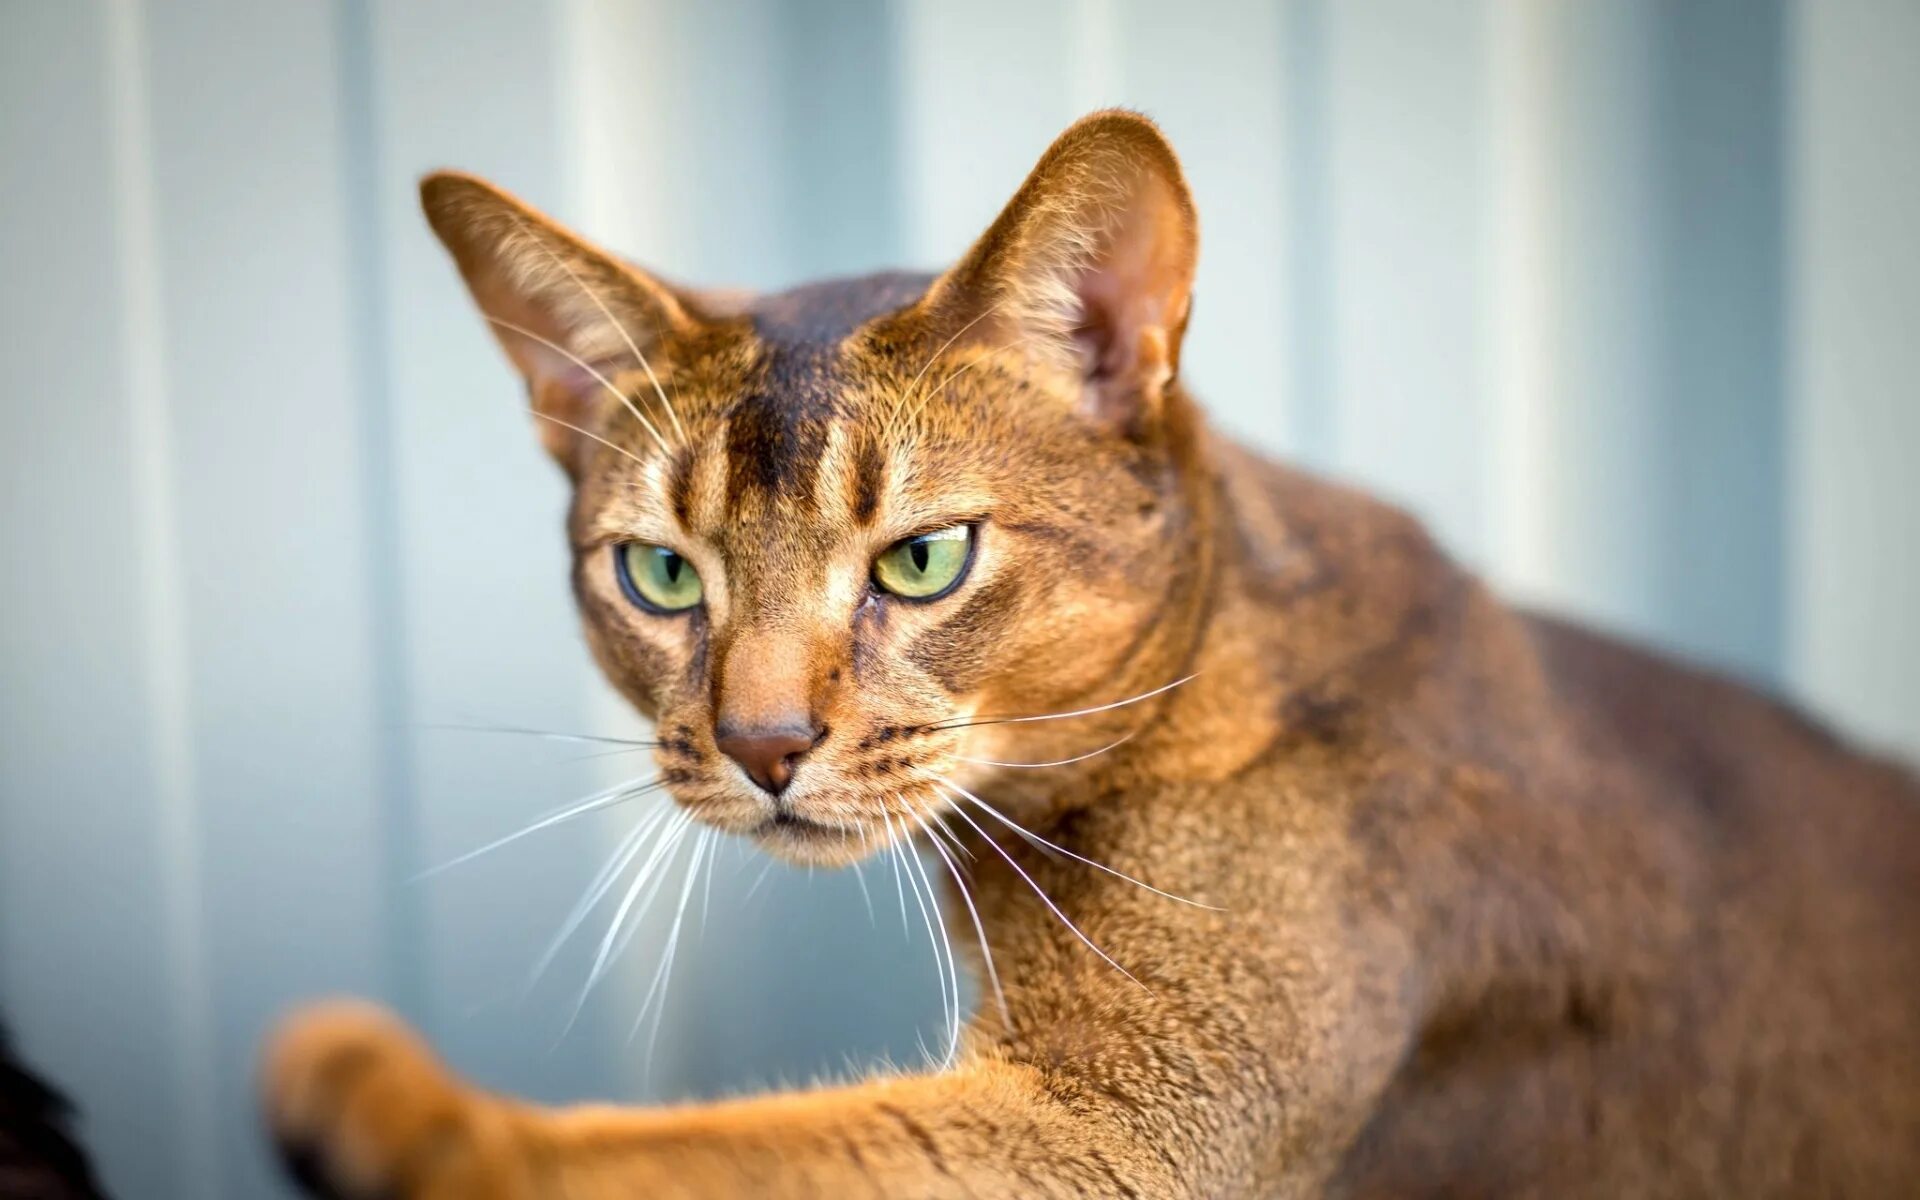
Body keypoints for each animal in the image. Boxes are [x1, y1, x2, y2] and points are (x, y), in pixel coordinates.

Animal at [259, 112, 1920, 1198]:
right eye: (662, 575)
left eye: (923, 559)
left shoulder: (1125, 1130)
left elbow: (704, 1157)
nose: (762, 743)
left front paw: (389, 1101)